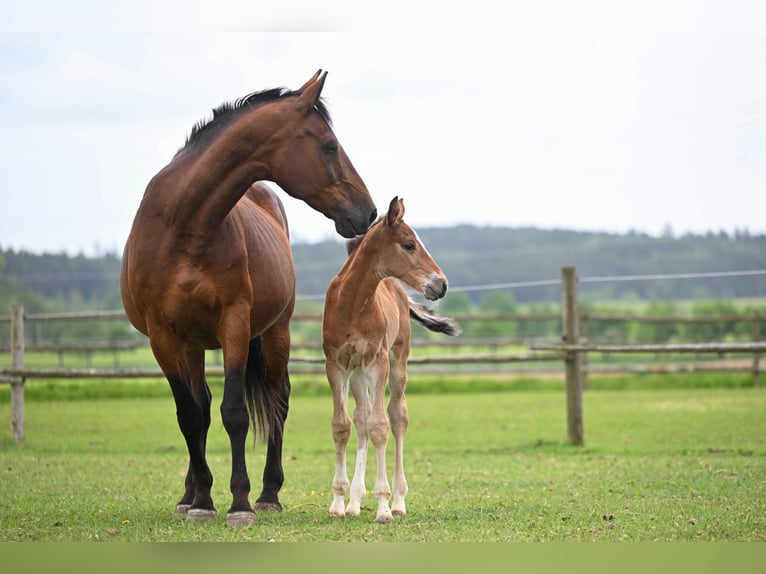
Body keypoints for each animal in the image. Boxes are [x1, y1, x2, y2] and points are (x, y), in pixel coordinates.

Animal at [120, 70, 377, 528]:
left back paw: (268, 493)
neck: (183, 227)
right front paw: (202, 500)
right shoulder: (163, 337)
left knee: (278, 401)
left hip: (276, 332)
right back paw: (189, 493)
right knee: (201, 408)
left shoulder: (235, 326)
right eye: (329, 145)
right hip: (192, 345)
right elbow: (191, 415)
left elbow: (234, 413)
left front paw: (239, 502)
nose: (369, 212)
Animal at [322, 196, 460, 523]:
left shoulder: (379, 362)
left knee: (397, 416)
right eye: (409, 244)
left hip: (397, 362)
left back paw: (397, 500)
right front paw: (339, 502)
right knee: (361, 418)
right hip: (358, 373)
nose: (441, 284)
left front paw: (383, 505)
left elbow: (381, 426)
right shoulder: (336, 365)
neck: (350, 305)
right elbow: (342, 426)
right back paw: (355, 501)